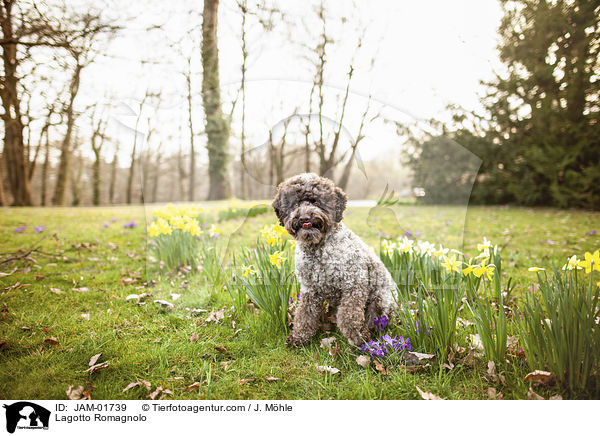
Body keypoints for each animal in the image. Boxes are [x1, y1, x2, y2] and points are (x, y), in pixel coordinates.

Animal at [274, 172, 398, 346]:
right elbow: (305, 314)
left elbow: (349, 316)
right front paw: (300, 336)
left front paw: (358, 336)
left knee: (376, 319)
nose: (305, 218)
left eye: (316, 201)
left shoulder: (354, 284)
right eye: (295, 203)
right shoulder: (309, 290)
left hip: (381, 301)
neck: (318, 251)